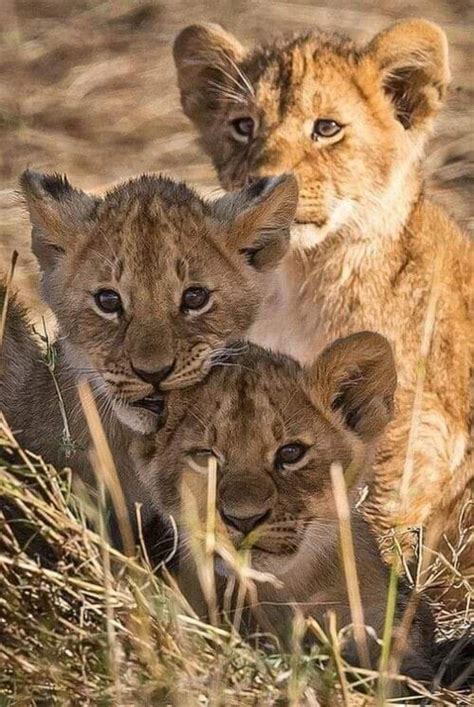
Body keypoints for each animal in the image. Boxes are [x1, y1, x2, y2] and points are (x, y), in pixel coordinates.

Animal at [173, 19, 473, 552]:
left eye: (327, 128)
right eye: (243, 125)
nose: (263, 181)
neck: (295, 280)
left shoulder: (421, 427)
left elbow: (377, 512)